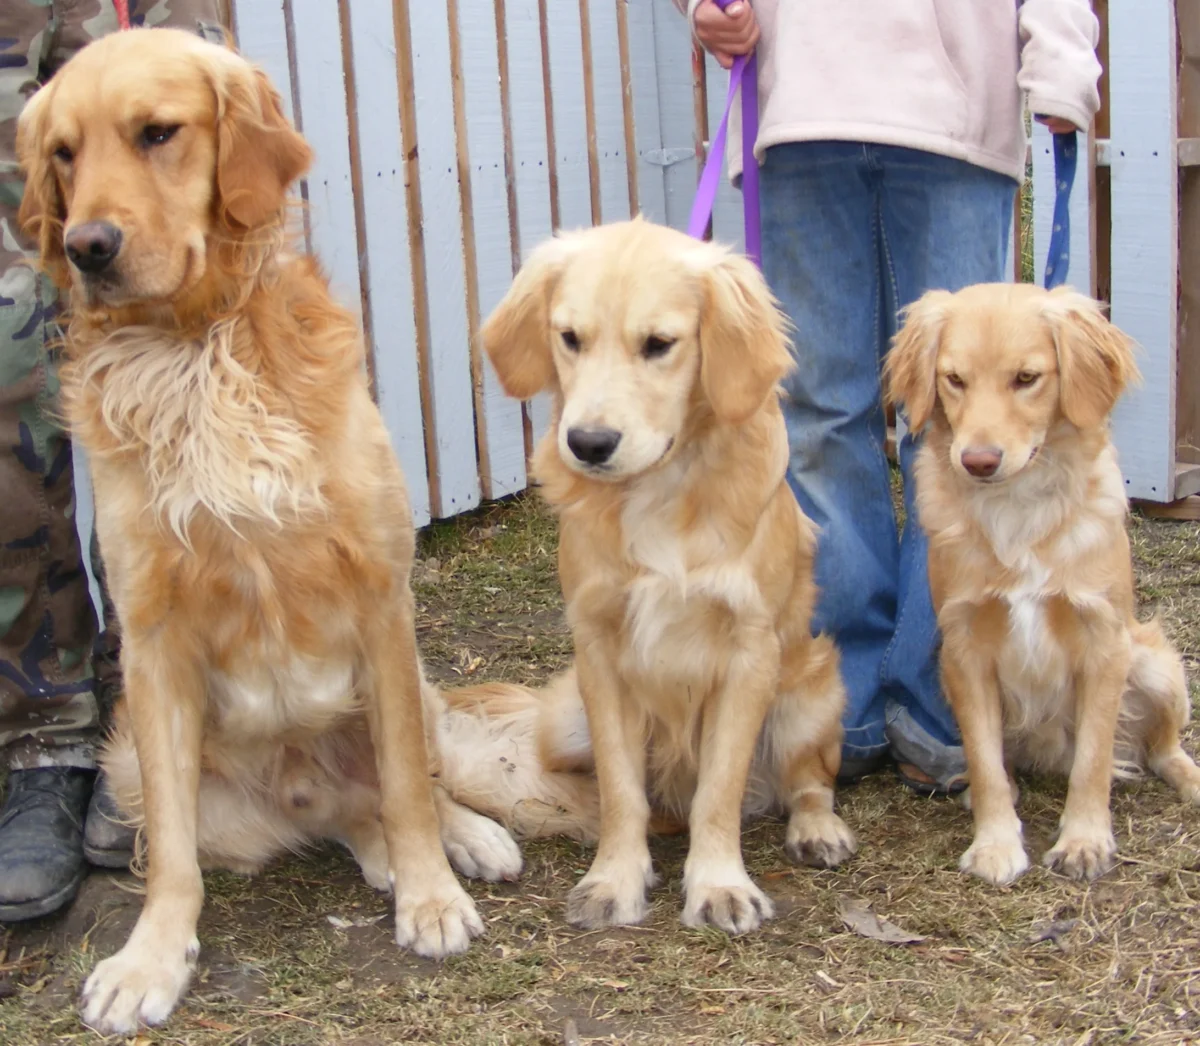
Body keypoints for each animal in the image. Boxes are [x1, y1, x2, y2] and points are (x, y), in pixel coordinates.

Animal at [16, 28, 597, 1031]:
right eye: (62, 153)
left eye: (157, 132)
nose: (88, 246)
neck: (195, 347)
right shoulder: (151, 638)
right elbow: (173, 858)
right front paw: (151, 960)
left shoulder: (378, 593)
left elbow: (405, 784)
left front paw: (433, 895)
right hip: (127, 761)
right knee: (339, 818)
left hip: (415, 689)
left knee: (406, 785)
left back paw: (466, 841)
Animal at [477, 218, 854, 930]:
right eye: (570, 338)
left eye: (659, 345)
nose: (589, 443)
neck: (661, 485)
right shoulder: (599, 650)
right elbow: (622, 788)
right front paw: (615, 877)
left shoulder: (749, 654)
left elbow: (720, 789)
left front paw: (719, 884)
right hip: (565, 722)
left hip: (810, 693)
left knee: (808, 780)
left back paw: (817, 828)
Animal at [883, 281, 1200, 887]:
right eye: (954, 379)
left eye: (1026, 378)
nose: (978, 461)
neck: (1018, 505)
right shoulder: (964, 651)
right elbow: (985, 762)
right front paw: (995, 842)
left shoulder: (1104, 643)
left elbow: (1094, 760)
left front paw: (1084, 841)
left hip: (1155, 664)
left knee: (1162, 747)